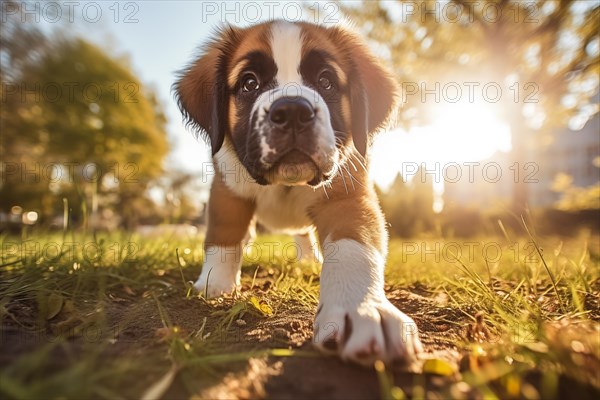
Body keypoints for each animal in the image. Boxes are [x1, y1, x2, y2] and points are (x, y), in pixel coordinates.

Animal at [175, 20, 422, 368]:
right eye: (249, 83)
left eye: (326, 81)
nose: (292, 110)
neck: (287, 185)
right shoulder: (228, 189)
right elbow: (224, 235)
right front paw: (216, 283)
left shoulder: (348, 197)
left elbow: (353, 249)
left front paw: (362, 309)